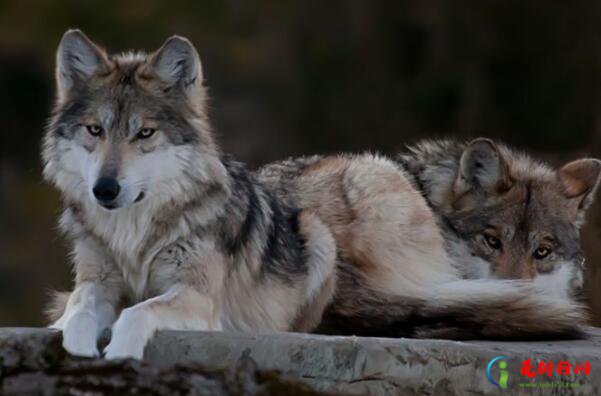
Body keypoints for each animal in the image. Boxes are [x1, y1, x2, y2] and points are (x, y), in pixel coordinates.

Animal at [43, 31, 600, 358]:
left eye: (542, 252)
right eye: (492, 242)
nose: (105, 189)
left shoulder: (191, 289)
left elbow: (133, 310)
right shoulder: (104, 283)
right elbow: (87, 306)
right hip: (365, 184)